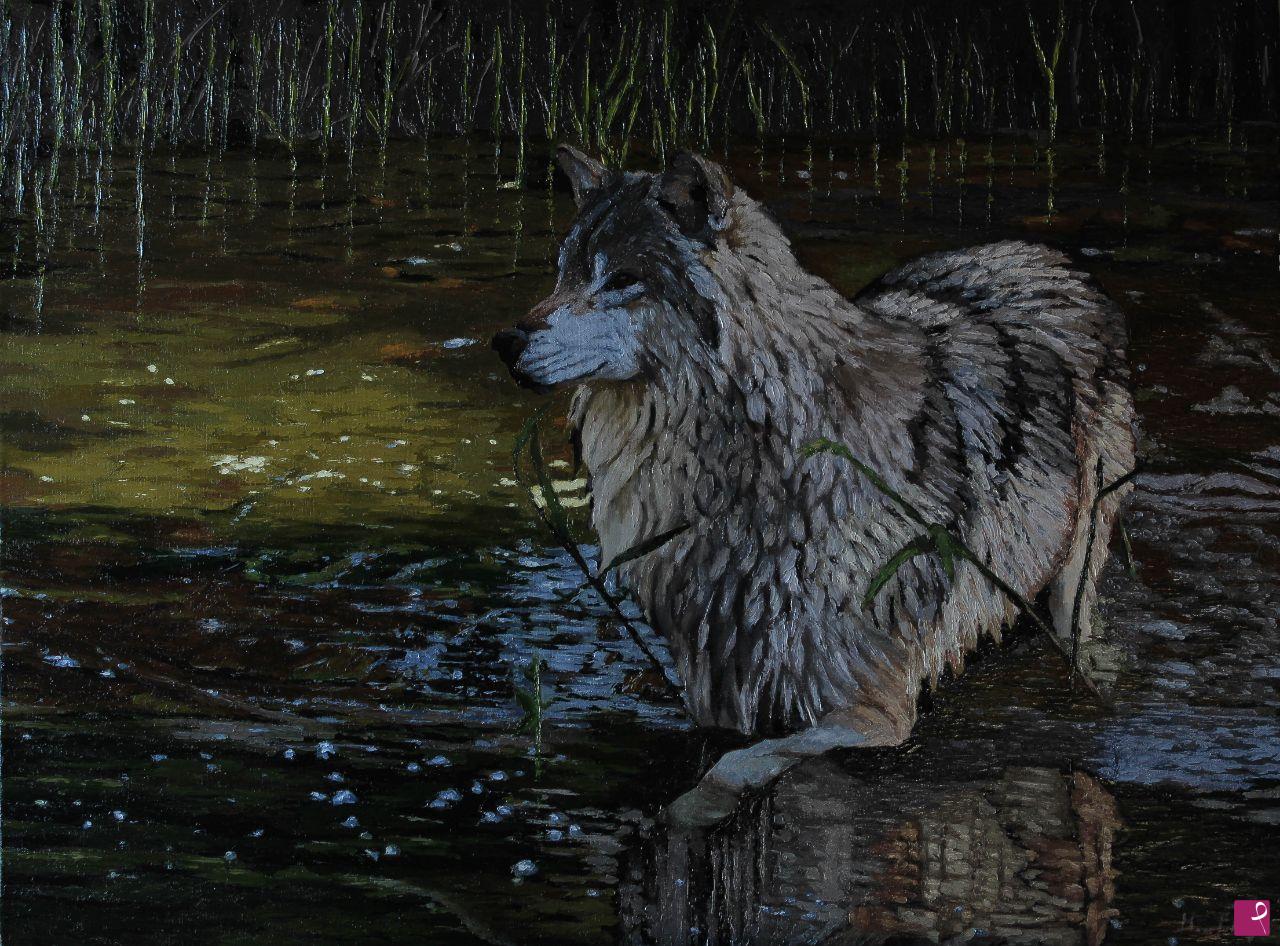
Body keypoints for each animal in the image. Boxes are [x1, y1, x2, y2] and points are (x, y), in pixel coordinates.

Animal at [493, 146, 1136, 748]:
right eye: (563, 274)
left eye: (622, 279)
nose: (505, 341)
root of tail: (1043, 254)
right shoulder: (722, 691)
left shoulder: (869, 710)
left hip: (1077, 580)